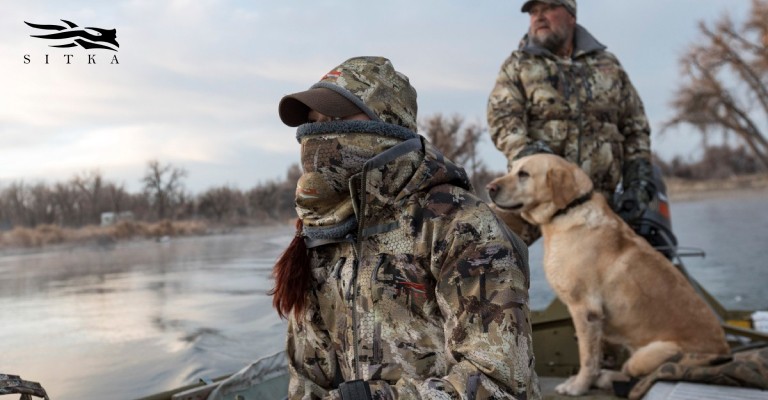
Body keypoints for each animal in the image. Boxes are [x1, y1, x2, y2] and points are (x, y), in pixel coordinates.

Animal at [486, 155, 728, 396]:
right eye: (511, 169)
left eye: (524, 174)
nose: (489, 188)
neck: (569, 210)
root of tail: (725, 351)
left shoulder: (585, 310)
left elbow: (588, 358)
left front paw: (578, 386)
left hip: (651, 354)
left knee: (640, 374)